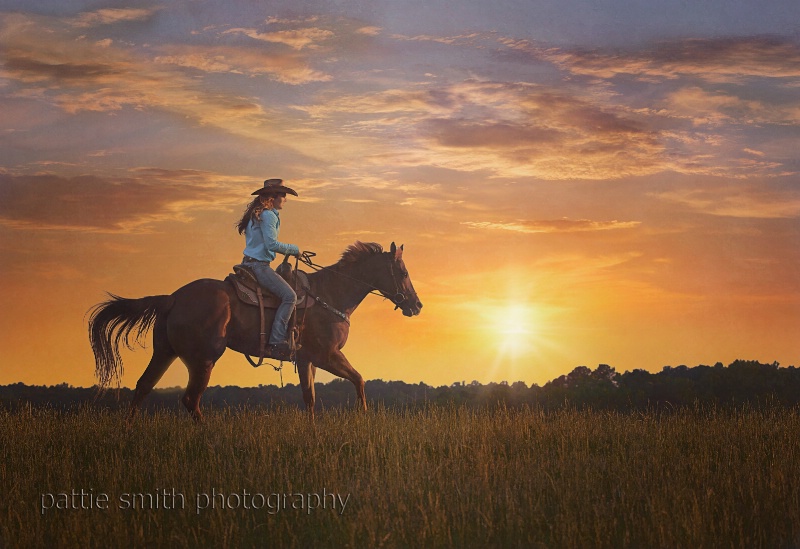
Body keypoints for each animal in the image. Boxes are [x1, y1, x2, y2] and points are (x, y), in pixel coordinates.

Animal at [88, 240, 422, 420]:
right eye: (403, 271)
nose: (416, 306)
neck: (330, 294)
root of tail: (173, 297)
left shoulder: (306, 360)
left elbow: (310, 399)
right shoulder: (327, 355)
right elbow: (359, 380)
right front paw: (363, 416)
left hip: (165, 352)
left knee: (143, 386)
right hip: (203, 359)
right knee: (190, 400)